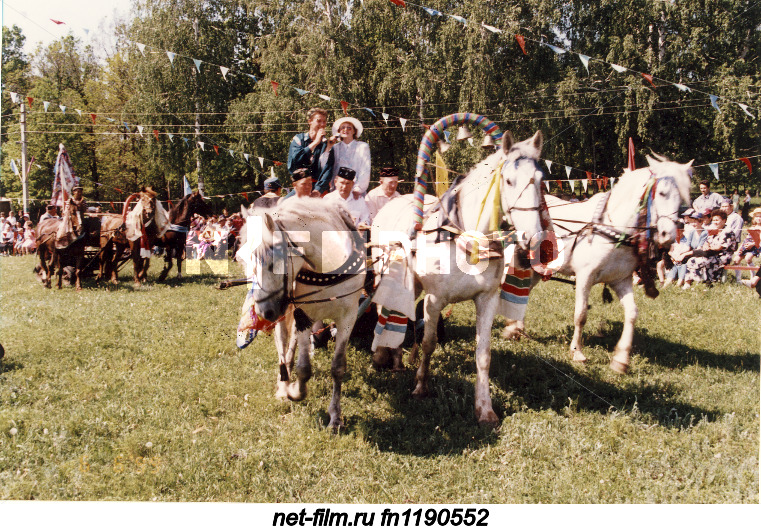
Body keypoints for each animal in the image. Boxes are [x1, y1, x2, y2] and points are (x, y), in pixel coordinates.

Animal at [238, 196, 368, 432]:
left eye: (273, 263)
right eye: (244, 260)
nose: (263, 311)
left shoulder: (348, 317)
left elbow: (337, 367)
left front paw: (336, 417)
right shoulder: (303, 315)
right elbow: (304, 368)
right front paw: (294, 391)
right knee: (283, 343)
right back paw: (283, 383)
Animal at [370, 130, 544, 426]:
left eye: (541, 180)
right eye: (509, 180)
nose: (534, 238)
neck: (466, 239)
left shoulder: (487, 300)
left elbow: (483, 355)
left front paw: (485, 408)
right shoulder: (434, 300)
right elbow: (429, 343)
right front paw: (421, 386)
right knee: (385, 309)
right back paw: (383, 354)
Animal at [502, 155, 692, 374]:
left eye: (682, 198)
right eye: (662, 193)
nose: (667, 236)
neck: (613, 228)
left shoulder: (621, 280)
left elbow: (632, 313)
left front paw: (621, 359)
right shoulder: (585, 276)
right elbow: (581, 314)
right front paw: (577, 352)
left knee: (524, 291)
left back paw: (517, 328)